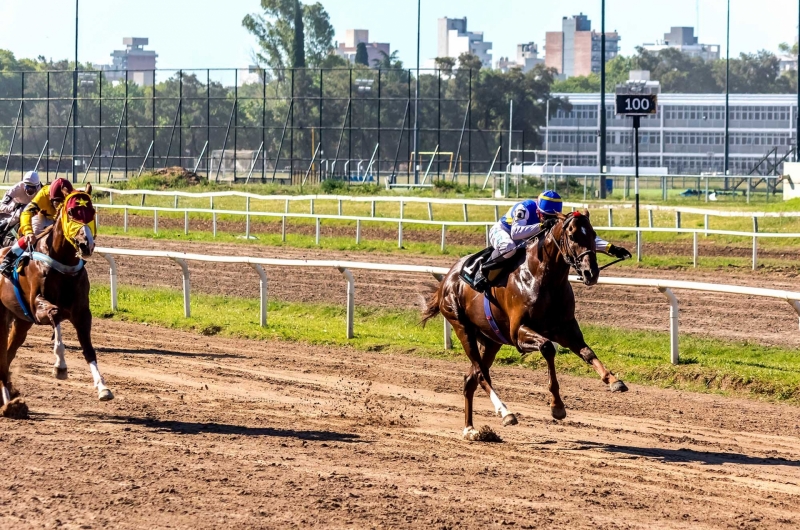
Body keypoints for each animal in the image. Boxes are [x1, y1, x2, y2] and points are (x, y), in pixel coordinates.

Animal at [0, 183, 111, 416]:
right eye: (71, 212)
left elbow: (89, 349)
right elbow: (56, 315)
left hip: (20, 323)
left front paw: (102, 388)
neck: (63, 263)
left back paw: (10, 400)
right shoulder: (37, 305)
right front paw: (60, 366)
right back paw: (9, 403)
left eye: (92, 212)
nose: (87, 244)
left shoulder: (82, 313)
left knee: (8, 353)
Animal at [422, 209, 628, 438]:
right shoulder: (518, 333)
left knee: (471, 378)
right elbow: (547, 348)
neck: (544, 279)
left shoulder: (565, 328)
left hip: (491, 340)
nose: (590, 273)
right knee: (481, 375)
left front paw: (613, 380)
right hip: (462, 327)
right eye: (573, 235)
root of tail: (446, 280)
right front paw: (557, 406)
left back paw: (470, 429)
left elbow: (587, 352)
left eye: (593, 234)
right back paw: (505, 413)